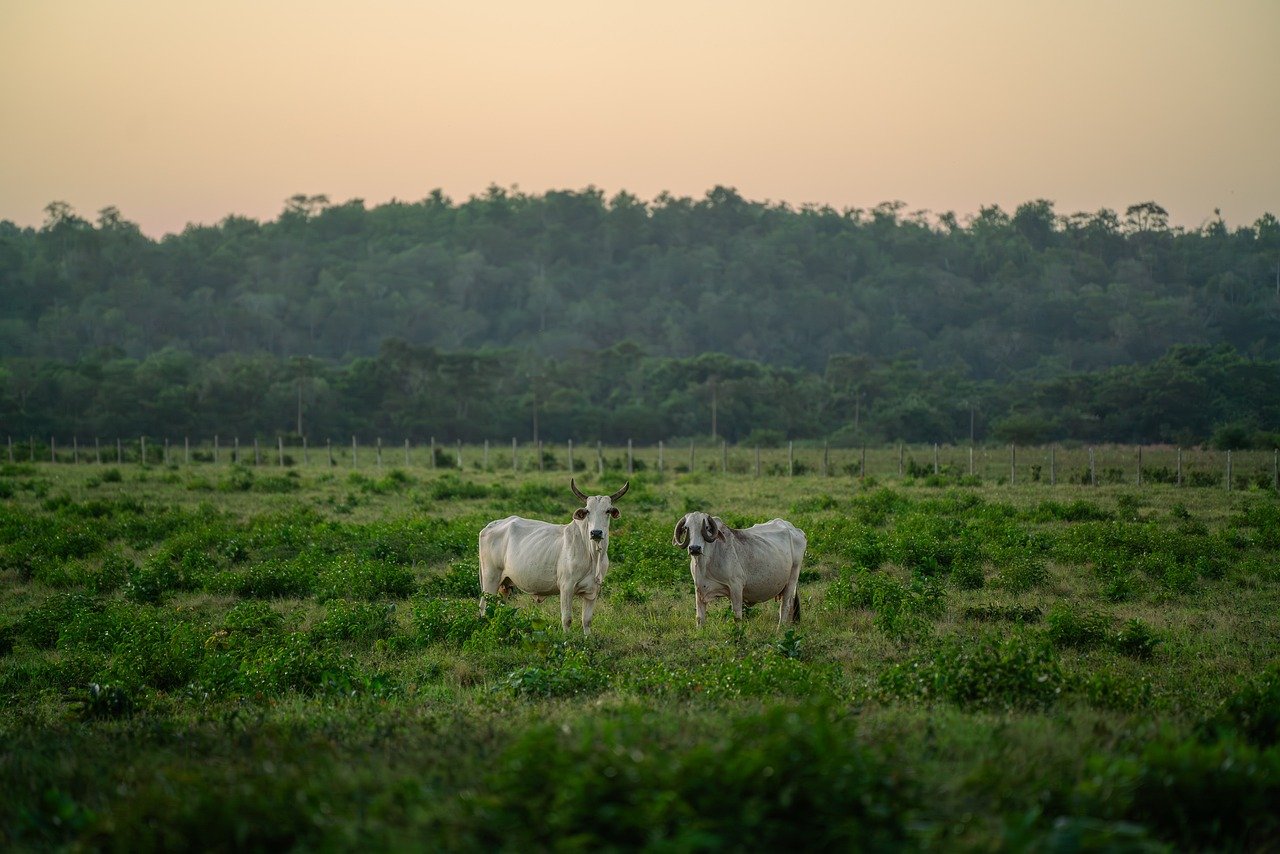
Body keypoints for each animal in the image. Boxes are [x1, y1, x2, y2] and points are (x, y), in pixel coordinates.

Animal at [478, 481, 627, 635]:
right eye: (587, 511)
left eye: (608, 511)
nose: (596, 532)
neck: (593, 555)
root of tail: (490, 526)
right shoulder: (566, 587)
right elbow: (567, 619)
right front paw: (567, 638)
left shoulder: (593, 590)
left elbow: (587, 620)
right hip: (490, 579)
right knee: (484, 606)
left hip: (504, 585)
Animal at [675, 512, 803, 632]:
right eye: (686, 528)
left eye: (706, 527)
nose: (694, 548)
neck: (706, 563)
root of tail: (795, 530)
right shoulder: (699, 589)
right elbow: (699, 618)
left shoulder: (736, 587)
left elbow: (737, 616)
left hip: (792, 580)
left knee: (785, 606)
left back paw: (780, 629)